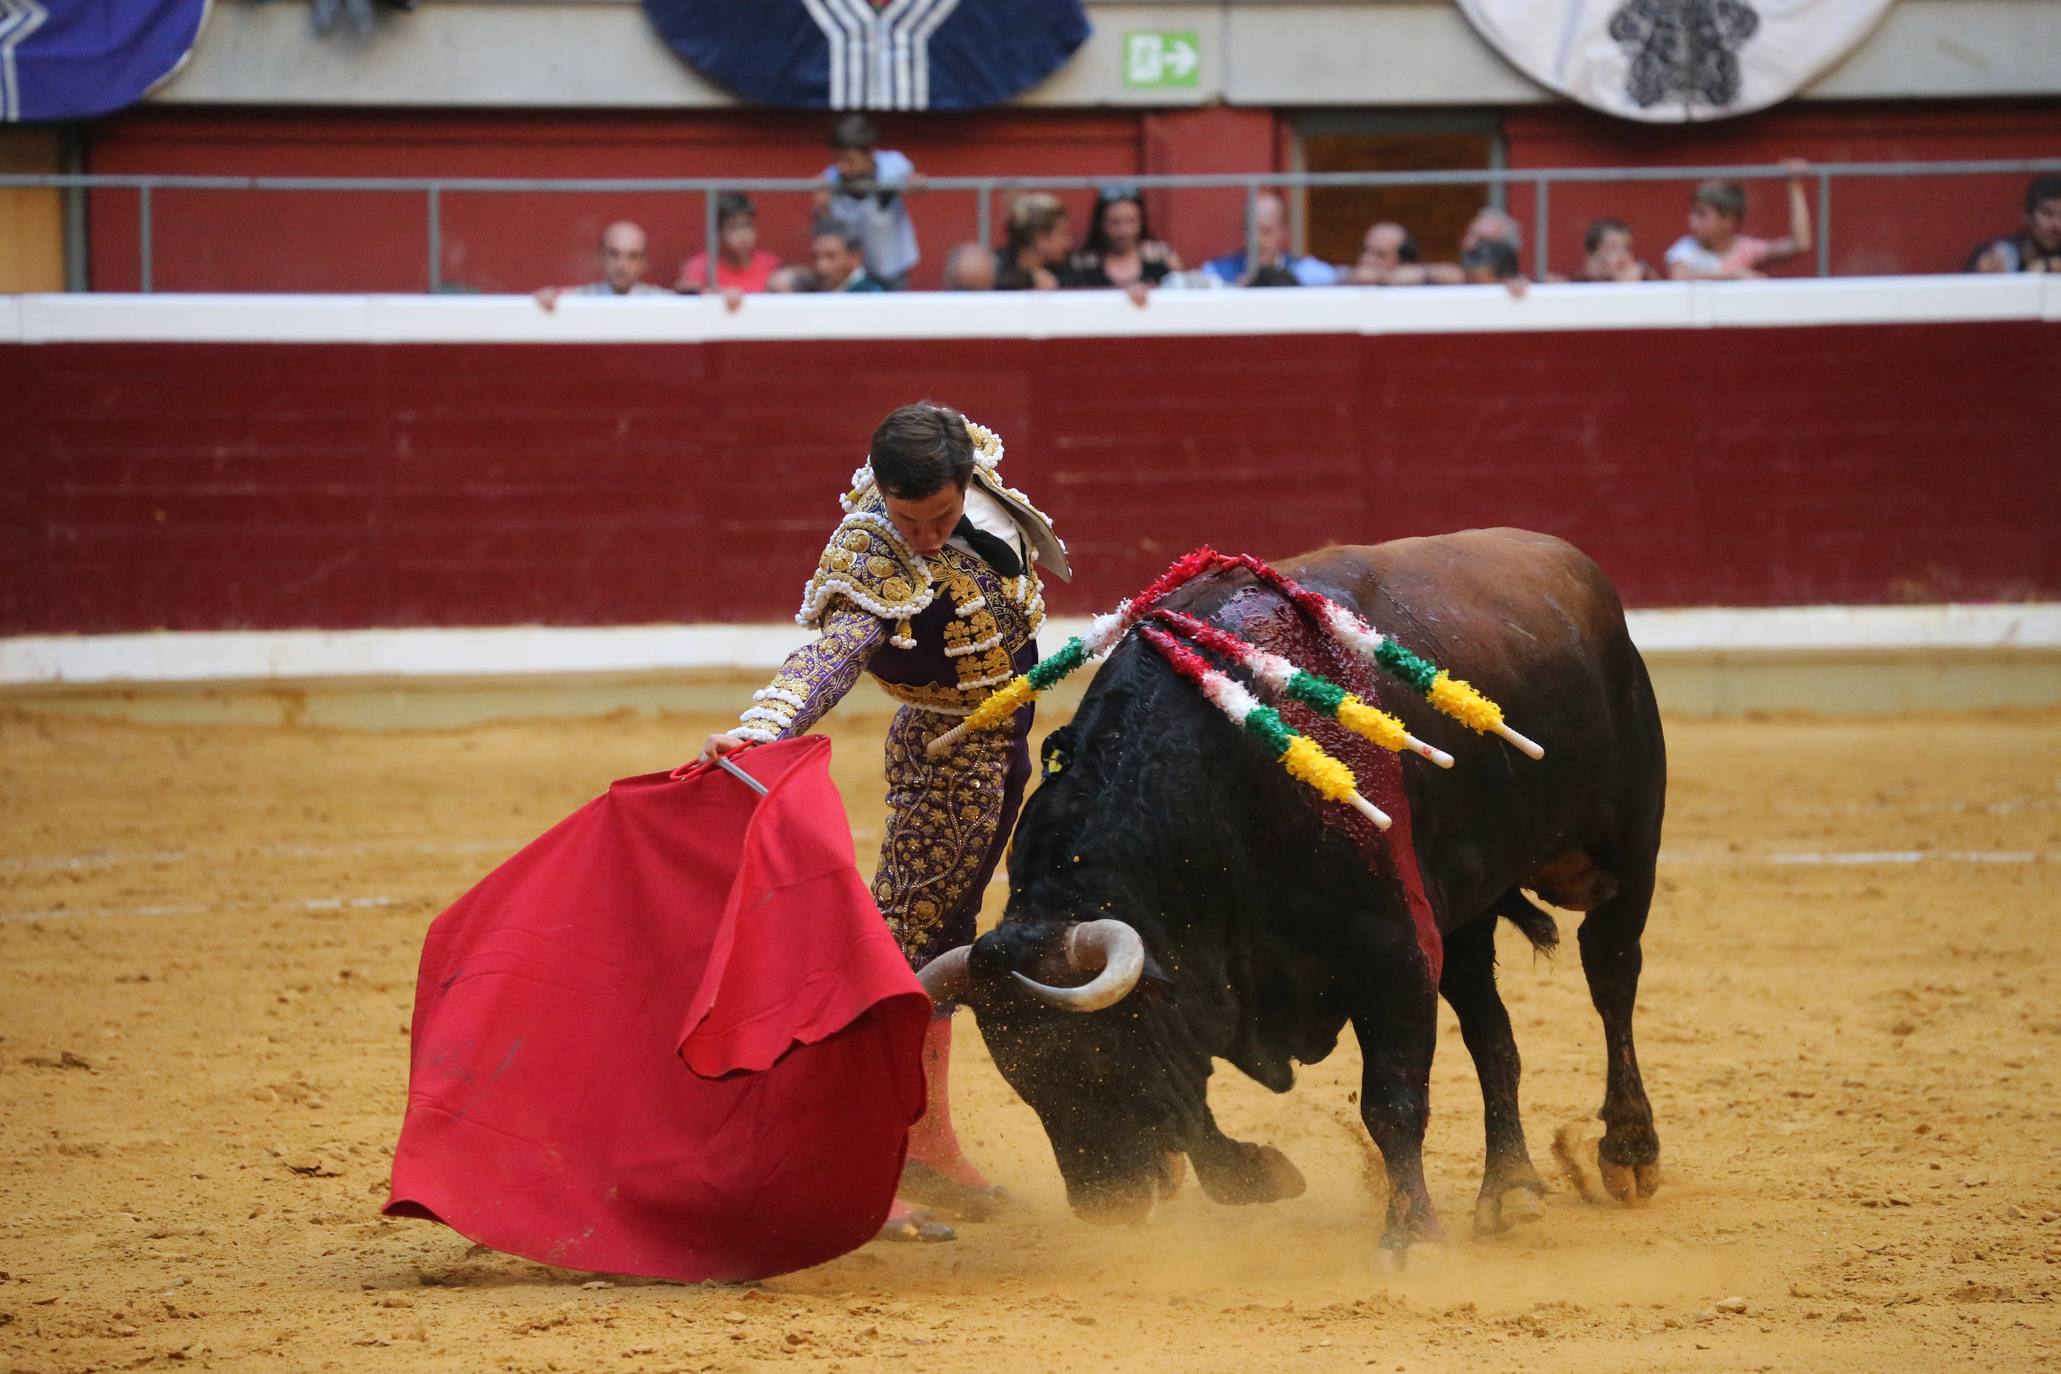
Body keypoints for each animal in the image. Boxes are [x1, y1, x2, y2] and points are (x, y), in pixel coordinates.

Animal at [927, 531, 1665, 1260]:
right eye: (1021, 1081)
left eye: (1103, 1058)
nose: (1105, 1207)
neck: (1219, 785)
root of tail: (1576, 568)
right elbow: (1191, 1103)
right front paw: (1261, 1174)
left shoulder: (1393, 954)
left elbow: (1390, 1100)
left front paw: (1409, 1236)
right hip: (1468, 912)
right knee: (1493, 1035)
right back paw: (1508, 1187)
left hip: (1630, 849)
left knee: (1611, 976)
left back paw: (1628, 1150)